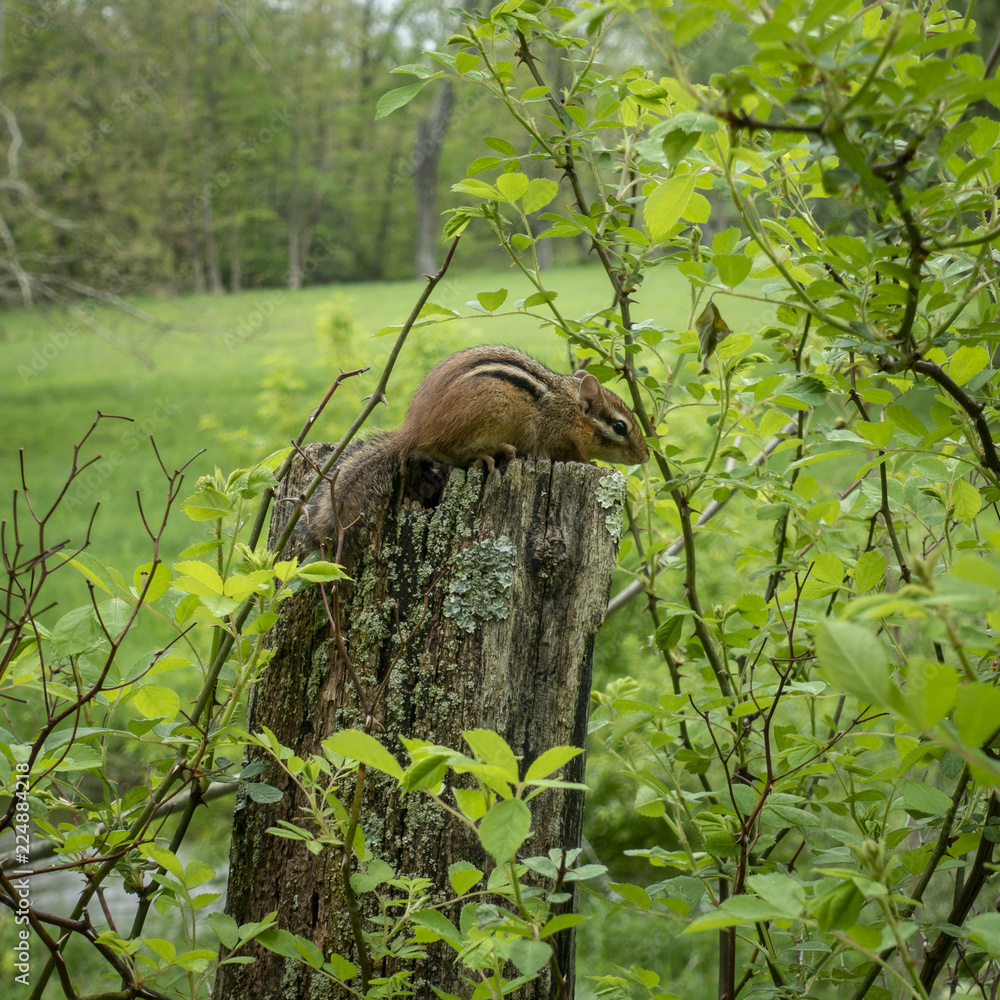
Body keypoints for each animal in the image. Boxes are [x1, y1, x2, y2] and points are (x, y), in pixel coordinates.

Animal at [300, 345, 649, 550]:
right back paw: (489, 453)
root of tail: (412, 432)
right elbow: (573, 457)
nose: (645, 456)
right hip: (490, 411)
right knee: (451, 452)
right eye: (620, 427)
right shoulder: (562, 441)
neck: (572, 409)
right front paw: (595, 465)